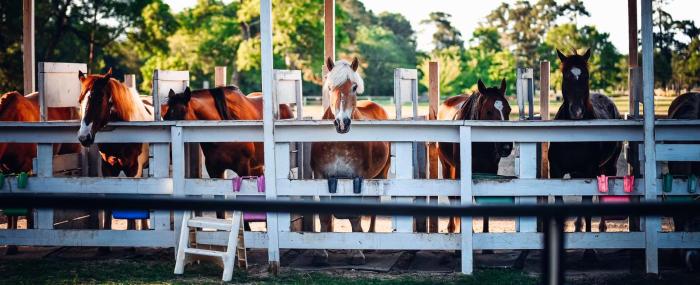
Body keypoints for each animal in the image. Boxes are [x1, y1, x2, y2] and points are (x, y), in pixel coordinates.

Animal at [308, 56, 392, 266]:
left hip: (381, 174)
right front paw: (321, 253)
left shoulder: (358, 177)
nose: (342, 123)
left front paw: (357, 253)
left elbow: (355, 217)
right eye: (330, 87)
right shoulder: (321, 176)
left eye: (354, 87)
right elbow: (324, 217)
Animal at [438, 77, 516, 233]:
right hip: (447, 166)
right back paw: (452, 227)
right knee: (452, 196)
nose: (506, 146)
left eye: (509, 109)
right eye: (488, 111)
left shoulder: (491, 170)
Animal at [548, 48, 620, 260]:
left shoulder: (589, 170)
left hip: (609, 168)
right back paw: (578, 226)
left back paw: (602, 227)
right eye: (565, 75)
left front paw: (589, 251)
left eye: (586, 76)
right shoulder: (556, 171)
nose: (577, 112)